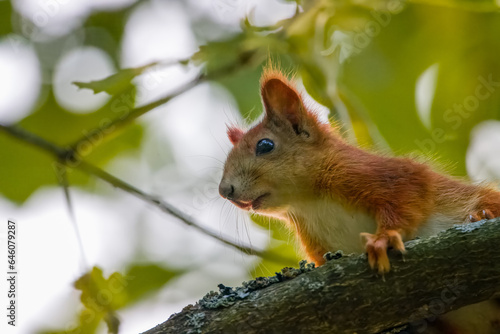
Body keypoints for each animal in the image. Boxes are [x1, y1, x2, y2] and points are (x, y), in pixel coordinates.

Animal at [219, 68, 500, 274]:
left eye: (265, 145)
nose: (225, 190)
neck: (308, 202)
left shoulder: (382, 174)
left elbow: (405, 201)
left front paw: (383, 239)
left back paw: (482, 214)